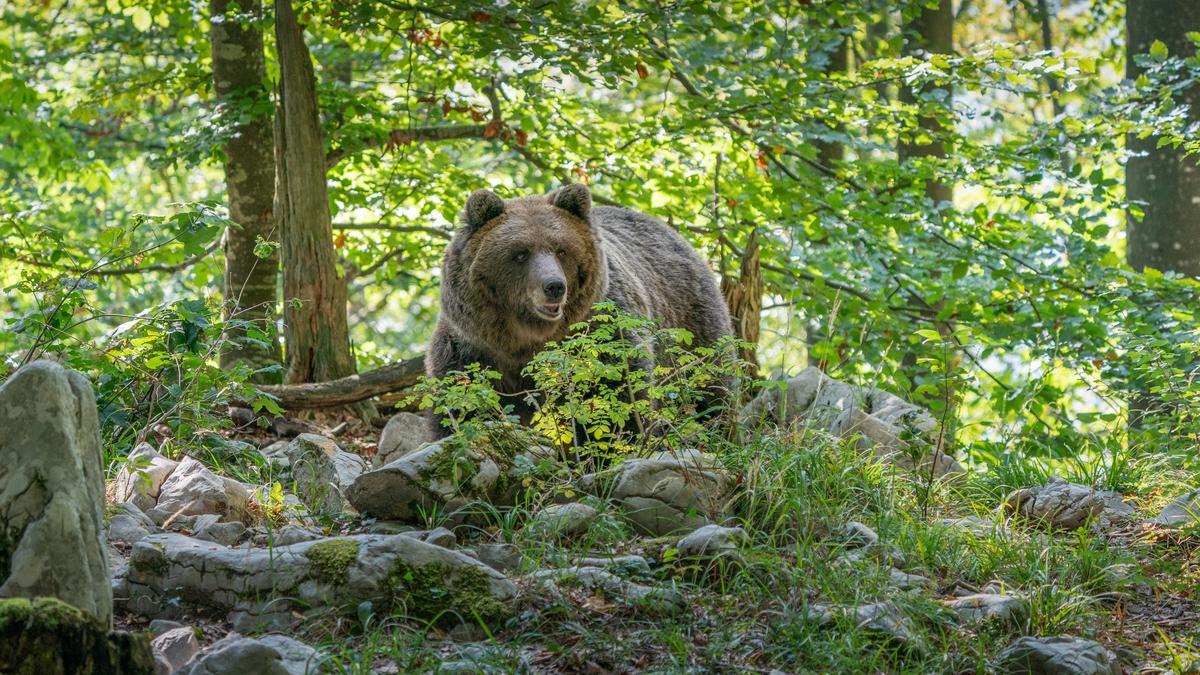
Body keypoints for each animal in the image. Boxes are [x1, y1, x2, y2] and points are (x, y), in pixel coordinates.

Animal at [427, 183, 734, 437]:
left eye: (561, 249)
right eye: (520, 253)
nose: (554, 286)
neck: (526, 339)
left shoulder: (599, 329)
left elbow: (614, 391)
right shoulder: (473, 346)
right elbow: (462, 399)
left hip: (689, 324)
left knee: (710, 387)